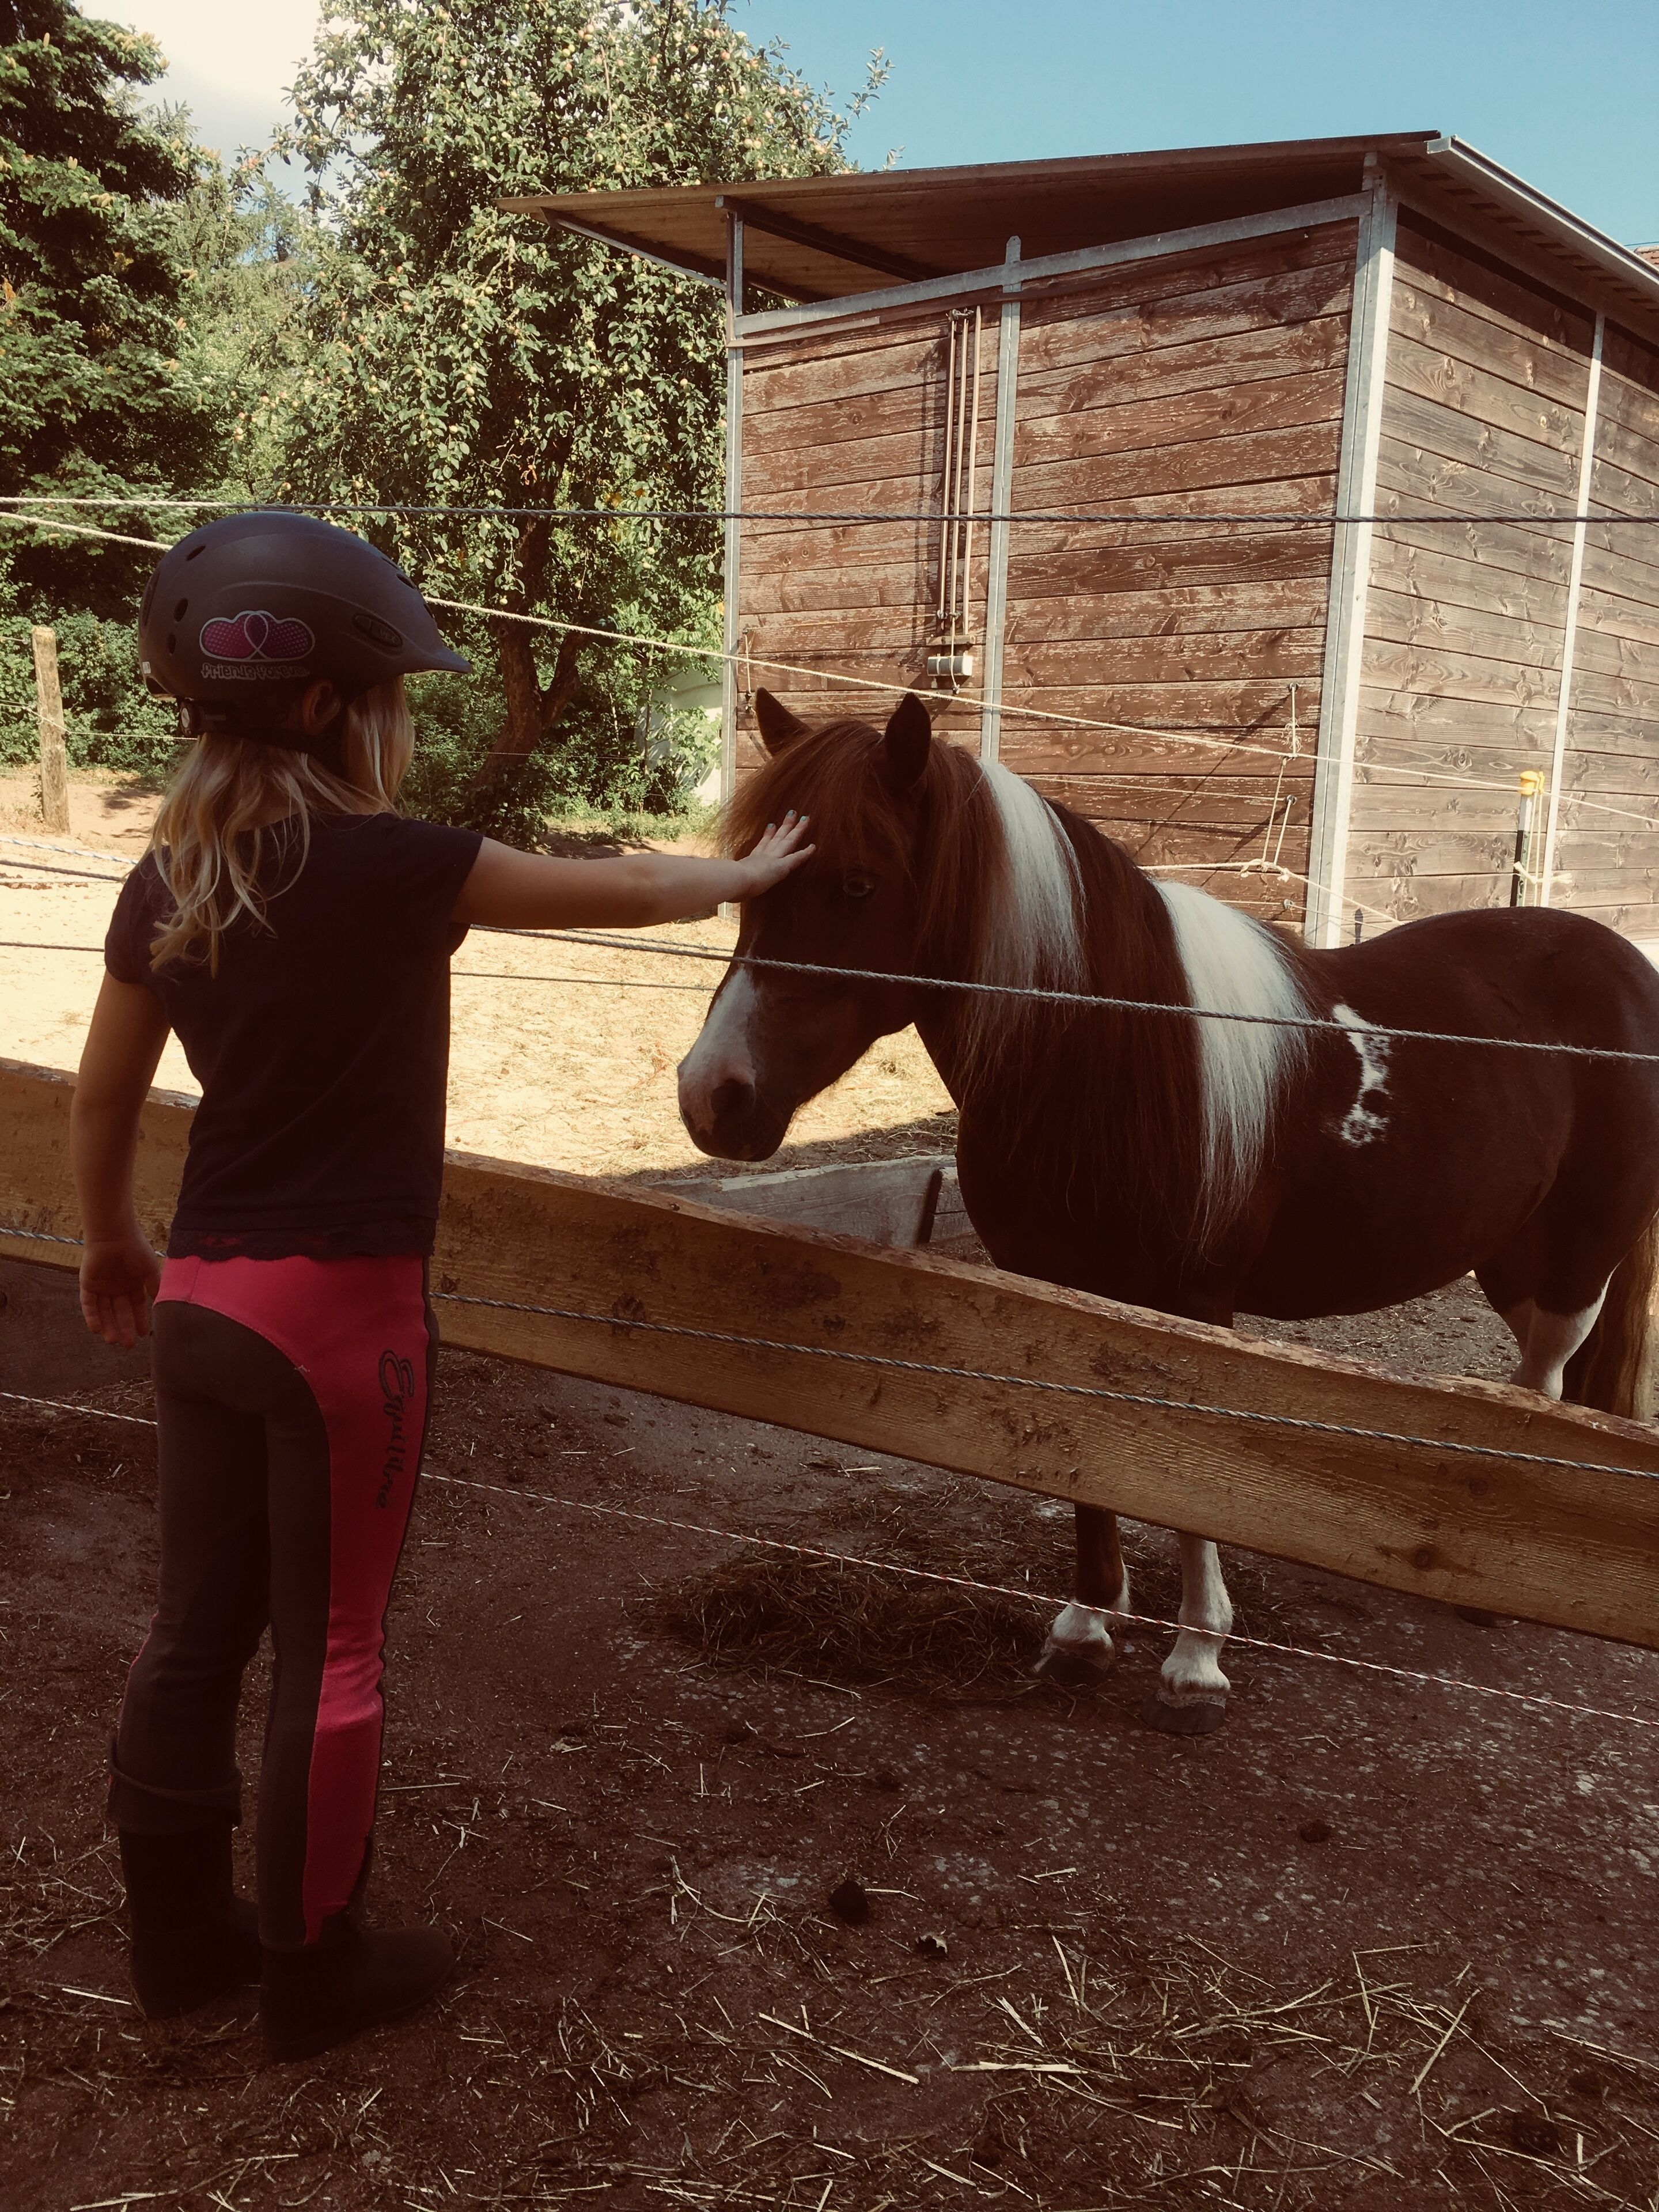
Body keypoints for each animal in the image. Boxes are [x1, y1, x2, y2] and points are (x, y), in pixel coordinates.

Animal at [677, 689, 1659, 1734]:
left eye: (859, 884)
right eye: (751, 884)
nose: (713, 1096)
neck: (1107, 1054)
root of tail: (1624, 967)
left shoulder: (1194, 1303)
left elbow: (1192, 1487)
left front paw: (1196, 1663)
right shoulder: (1054, 1288)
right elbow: (1085, 1455)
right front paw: (1086, 1627)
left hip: (1576, 1263)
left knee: (1546, 1382)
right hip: (1512, 1259)